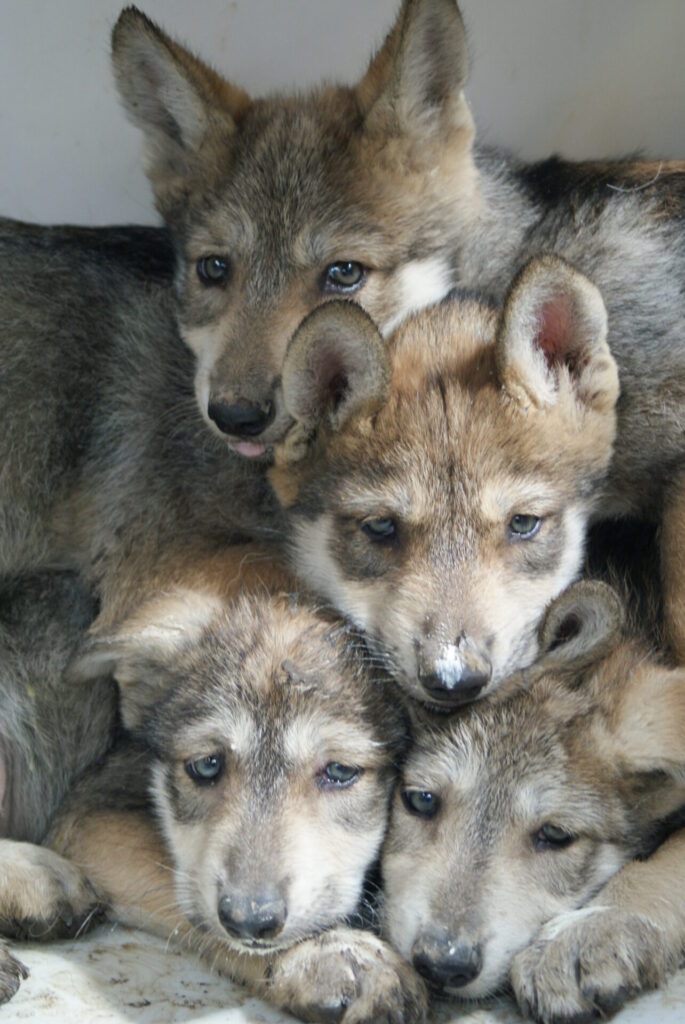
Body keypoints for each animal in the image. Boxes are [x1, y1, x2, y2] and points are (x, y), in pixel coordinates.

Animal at [0, 548, 427, 1023]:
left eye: (339, 772)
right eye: (206, 766)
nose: (248, 921)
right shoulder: (89, 814)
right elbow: (189, 894)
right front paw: (330, 952)